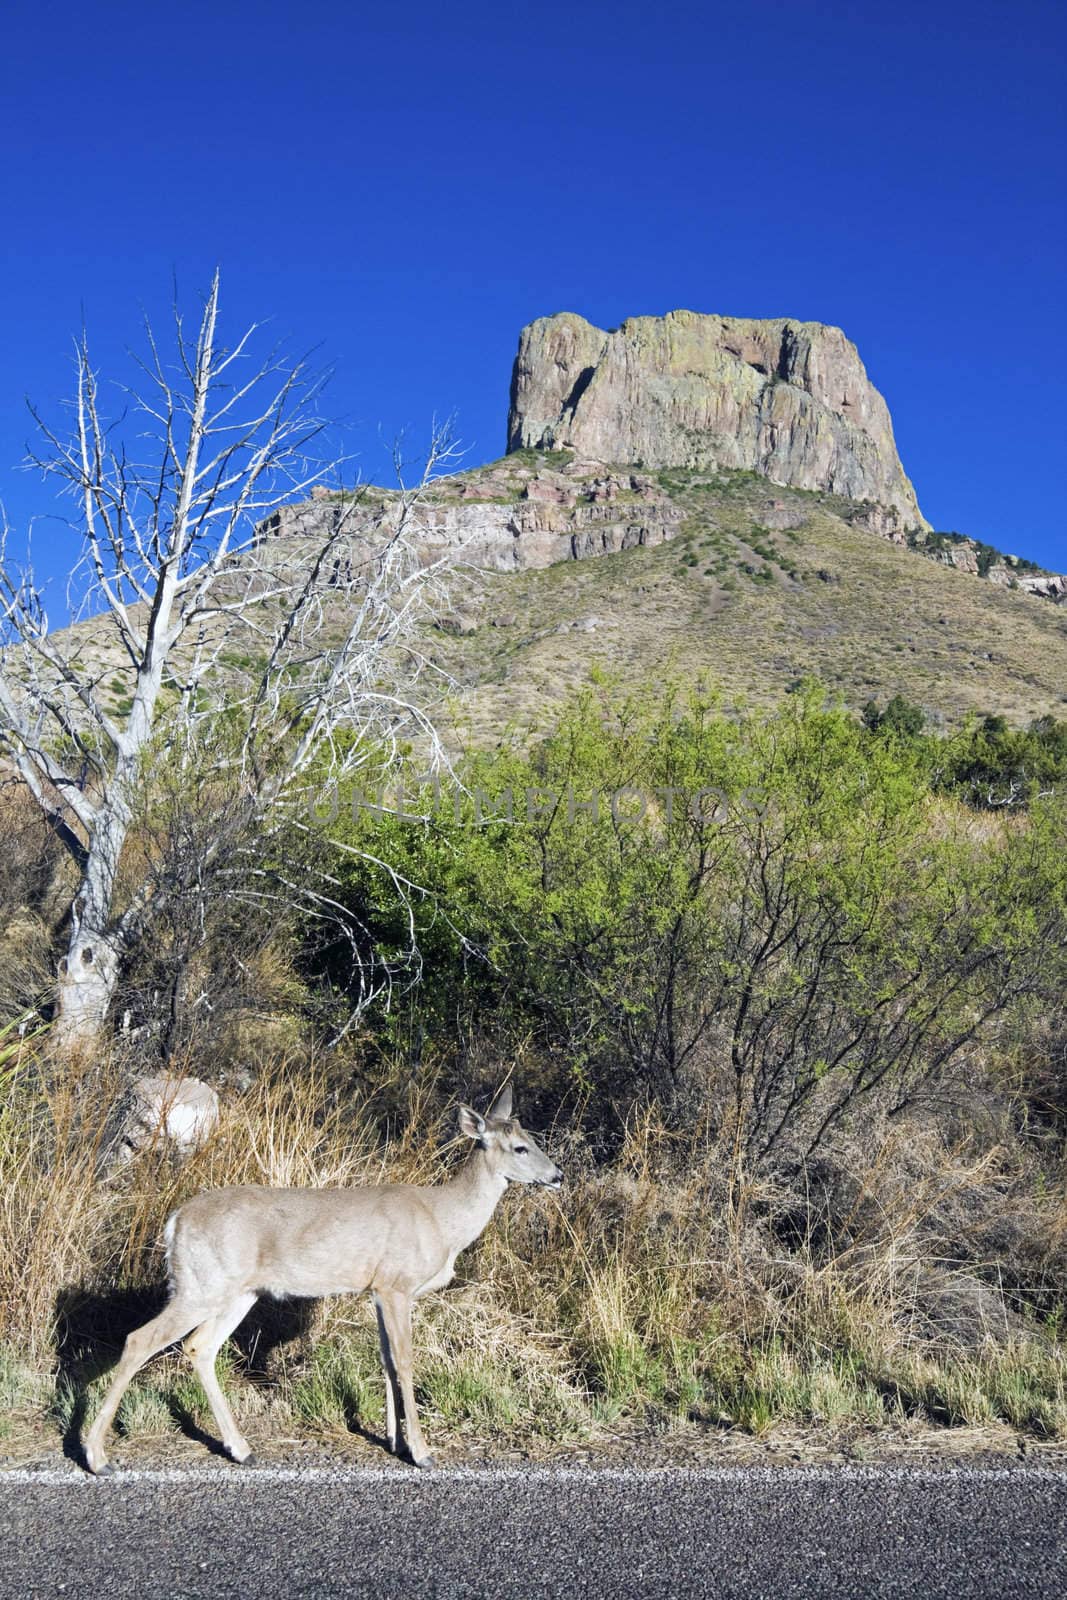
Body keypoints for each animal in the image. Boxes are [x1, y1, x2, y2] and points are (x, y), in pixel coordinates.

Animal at [83, 1088, 563, 1472]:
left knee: (200, 1347)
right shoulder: (397, 1284)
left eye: (533, 1141)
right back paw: (97, 1456)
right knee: (140, 1340)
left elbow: (385, 1359)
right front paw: (421, 1451)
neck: (443, 1220)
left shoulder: (376, 1290)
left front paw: (392, 1439)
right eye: (520, 1148)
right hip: (201, 1285)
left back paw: (241, 1448)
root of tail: (175, 1221)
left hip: (238, 1291)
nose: (557, 1176)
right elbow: (406, 1361)